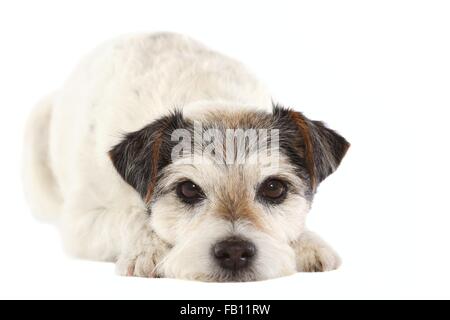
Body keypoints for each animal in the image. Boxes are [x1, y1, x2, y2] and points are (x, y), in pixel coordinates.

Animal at [22, 33, 350, 282]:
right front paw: (147, 248)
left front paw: (308, 241)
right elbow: (135, 216)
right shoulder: (82, 222)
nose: (234, 252)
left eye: (273, 188)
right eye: (189, 189)